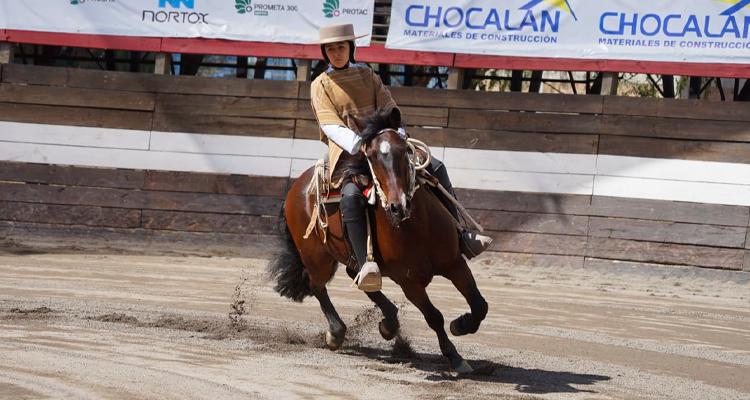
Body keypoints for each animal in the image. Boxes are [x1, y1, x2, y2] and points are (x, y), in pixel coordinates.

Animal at [268, 106, 488, 372]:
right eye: (371, 157)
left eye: (404, 149)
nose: (398, 206)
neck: (418, 228)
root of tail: (297, 187)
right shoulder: (409, 282)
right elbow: (434, 316)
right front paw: (454, 356)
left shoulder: (455, 263)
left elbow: (480, 305)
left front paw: (461, 325)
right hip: (316, 258)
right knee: (317, 286)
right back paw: (337, 333)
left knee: (358, 275)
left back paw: (389, 322)